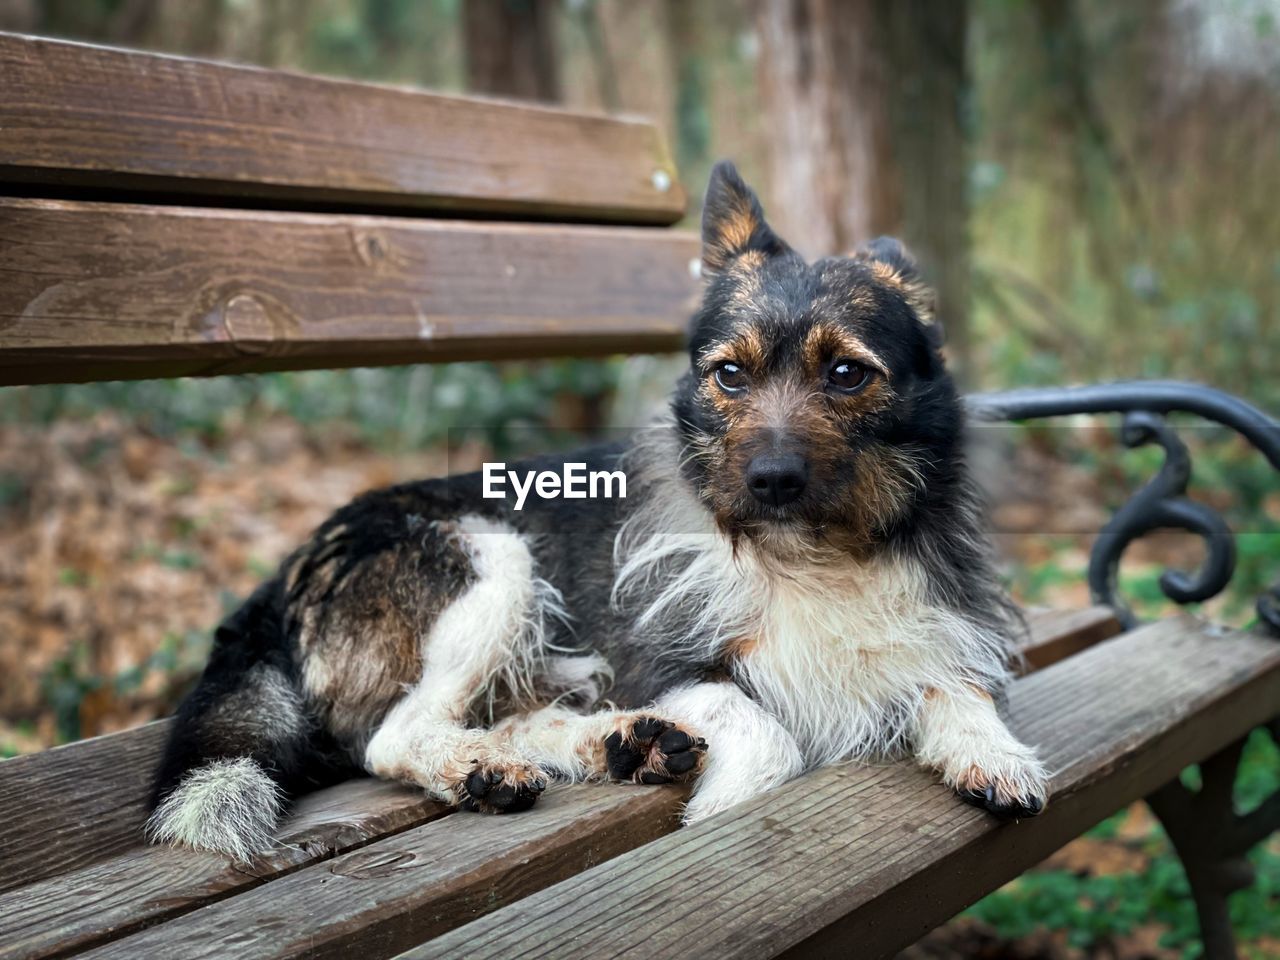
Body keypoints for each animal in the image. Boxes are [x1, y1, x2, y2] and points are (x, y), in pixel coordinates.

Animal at [152, 161, 1049, 860]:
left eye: (847, 373)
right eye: (729, 374)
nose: (769, 480)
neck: (812, 554)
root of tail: (282, 576)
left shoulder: (933, 634)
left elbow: (954, 688)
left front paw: (991, 752)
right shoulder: (670, 664)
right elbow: (769, 735)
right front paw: (723, 812)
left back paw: (615, 744)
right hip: (488, 558)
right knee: (393, 734)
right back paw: (484, 767)